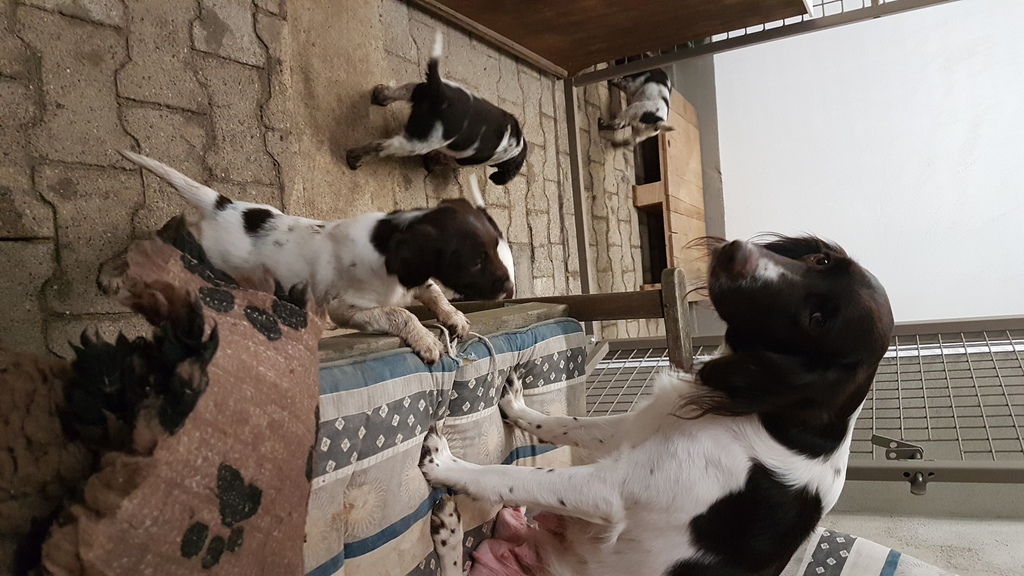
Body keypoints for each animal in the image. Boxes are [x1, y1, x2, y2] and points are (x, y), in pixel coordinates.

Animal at [113, 151, 515, 364]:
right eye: (476, 260)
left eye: (496, 247)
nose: (511, 290)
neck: (387, 247)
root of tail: (223, 207)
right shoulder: (345, 307)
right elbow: (400, 313)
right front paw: (428, 341)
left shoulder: (414, 281)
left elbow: (432, 291)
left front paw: (455, 318)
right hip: (208, 256)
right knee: (171, 235)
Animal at [346, 32, 528, 186]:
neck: (516, 146)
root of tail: (441, 94)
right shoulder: (459, 159)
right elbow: (447, 160)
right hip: (415, 143)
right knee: (380, 147)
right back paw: (354, 159)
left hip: (419, 90)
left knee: (396, 93)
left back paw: (380, 94)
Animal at [420, 235, 894, 575]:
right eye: (820, 261)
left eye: (818, 320)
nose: (737, 251)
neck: (773, 420)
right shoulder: (632, 430)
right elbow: (566, 423)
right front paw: (519, 409)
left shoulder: (609, 489)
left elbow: (511, 477)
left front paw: (446, 466)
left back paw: (449, 529)